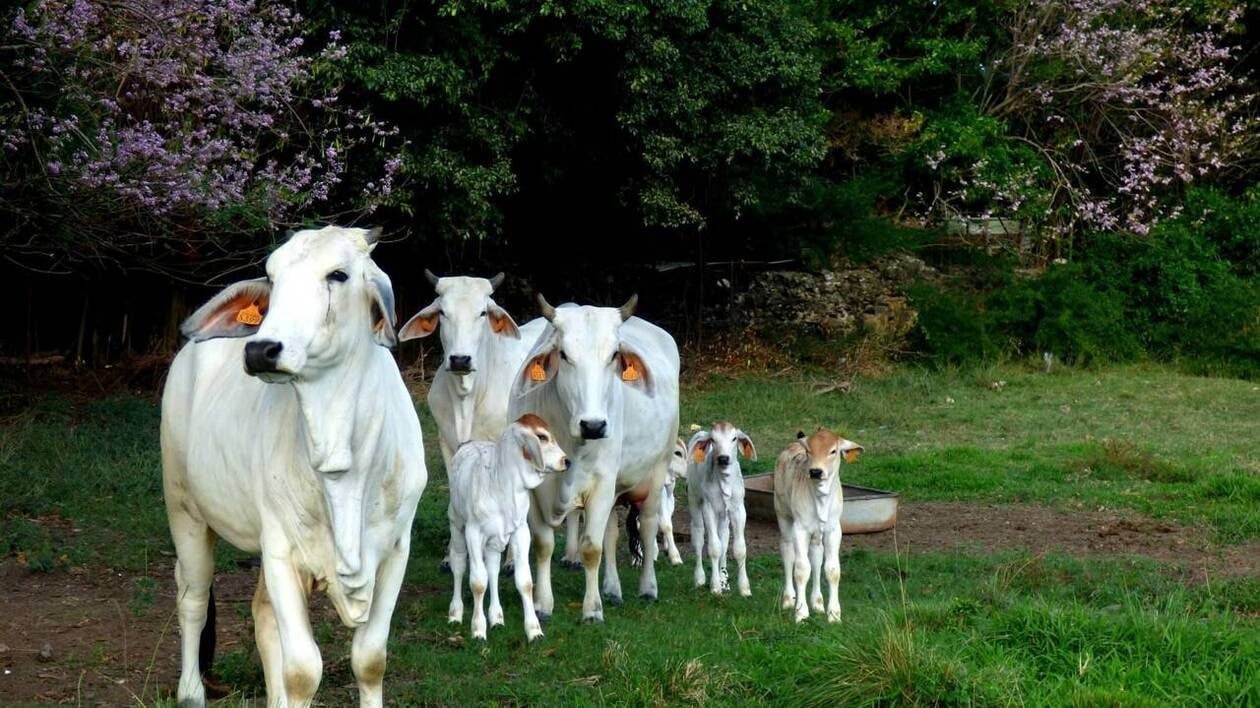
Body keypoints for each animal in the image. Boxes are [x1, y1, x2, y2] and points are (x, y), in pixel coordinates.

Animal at [162, 226, 428, 707]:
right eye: (272, 276)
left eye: (338, 274)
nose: (261, 349)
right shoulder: (281, 550)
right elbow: (303, 671)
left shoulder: (397, 548)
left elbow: (370, 660)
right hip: (183, 506)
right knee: (192, 597)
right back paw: (190, 692)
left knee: (262, 616)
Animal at [446, 414, 570, 642]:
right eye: (542, 437)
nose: (567, 461)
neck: (503, 485)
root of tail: (467, 443)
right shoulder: (474, 533)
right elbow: (478, 582)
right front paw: (478, 629)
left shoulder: (520, 532)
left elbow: (524, 581)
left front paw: (534, 630)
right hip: (457, 524)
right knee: (458, 565)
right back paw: (455, 613)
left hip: (494, 541)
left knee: (493, 570)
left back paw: (497, 618)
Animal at [510, 294, 680, 623]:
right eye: (564, 354)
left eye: (614, 355)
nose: (593, 425)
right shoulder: (535, 489)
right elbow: (544, 545)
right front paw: (542, 604)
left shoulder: (602, 484)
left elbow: (591, 548)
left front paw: (591, 609)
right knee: (612, 535)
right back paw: (612, 589)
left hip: (655, 474)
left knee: (649, 526)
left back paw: (648, 587)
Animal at [688, 422, 757, 596]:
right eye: (713, 439)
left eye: (734, 438)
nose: (723, 458)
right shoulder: (709, 508)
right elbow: (714, 547)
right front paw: (715, 587)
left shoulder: (738, 509)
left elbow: (739, 548)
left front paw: (744, 588)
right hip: (693, 498)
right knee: (698, 535)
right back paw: (699, 578)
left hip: (724, 515)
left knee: (724, 537)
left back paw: (724, 579)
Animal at [774, 428, 863, 623]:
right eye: (808, 451)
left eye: (833, 451)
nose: (815, 471)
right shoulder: (800, 528)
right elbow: (801, 569)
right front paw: (801, 613)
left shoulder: (834, 530)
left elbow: (832, 569)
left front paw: (834, 614)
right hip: (783, 514)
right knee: (787, 552)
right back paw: (788, 599)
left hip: (817, 533)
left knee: (816, 556)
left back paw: (817, 603)